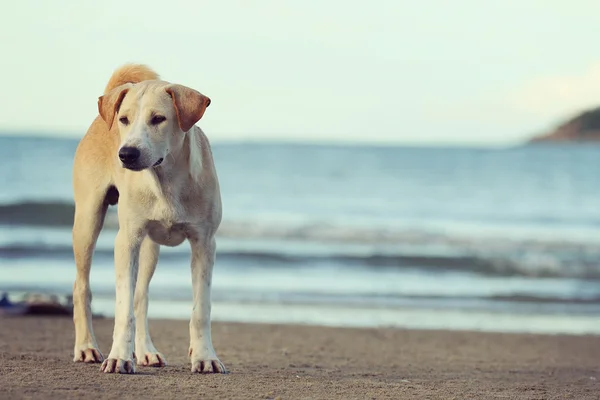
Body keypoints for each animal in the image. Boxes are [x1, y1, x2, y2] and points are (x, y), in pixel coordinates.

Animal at [71, 64, 226, 374]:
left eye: (158, 119)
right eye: (124, 120)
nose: (127, 153)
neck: (165, 181)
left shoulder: (205, 243)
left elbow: (201, 309)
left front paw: (204, 356)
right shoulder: (127, 241)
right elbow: (123, 309)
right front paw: (119, 357)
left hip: (150, 249)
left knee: (141, 296)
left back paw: (146, 351)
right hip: (87, 220)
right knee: (82, 287)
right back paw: (86, 347)